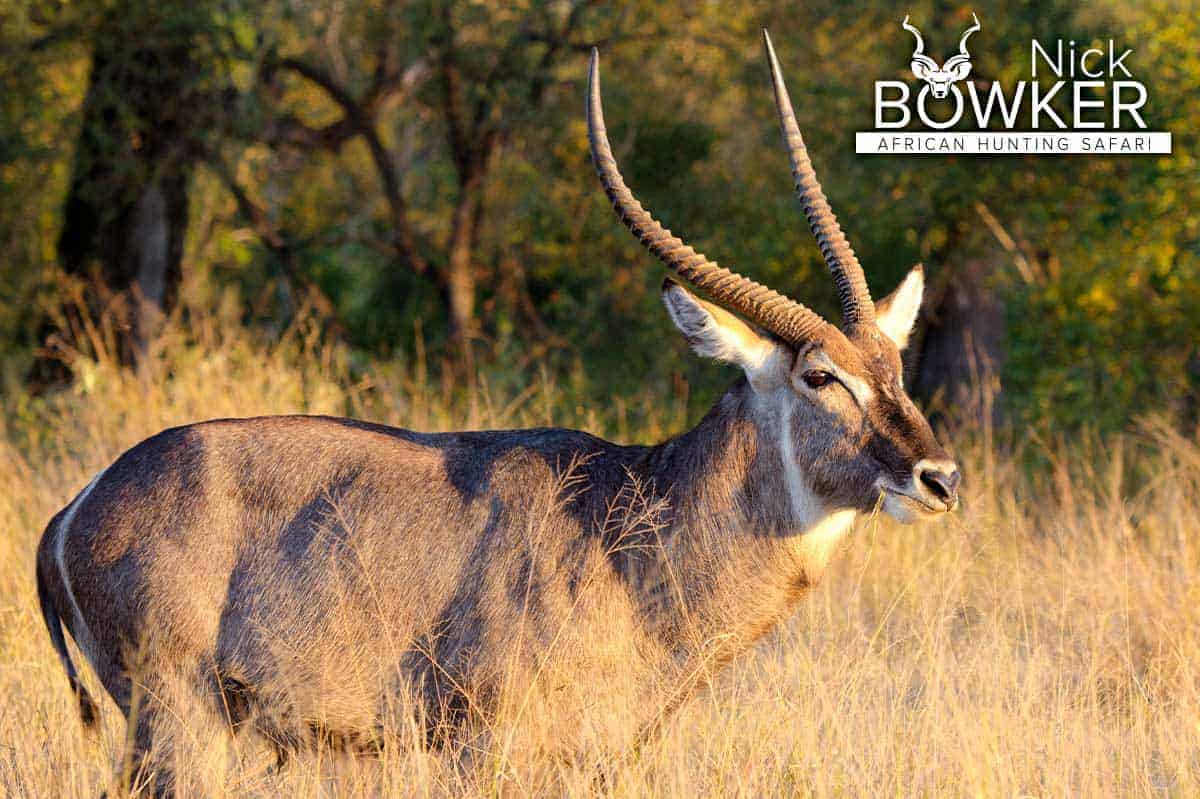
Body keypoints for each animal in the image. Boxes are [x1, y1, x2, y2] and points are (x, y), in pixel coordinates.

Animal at [32, 31, 960, 791]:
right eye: (819, 375)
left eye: (894, 364)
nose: (939, 476)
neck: (629, 524)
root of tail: (76, 509)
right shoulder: (484, 747)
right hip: (174, 722)